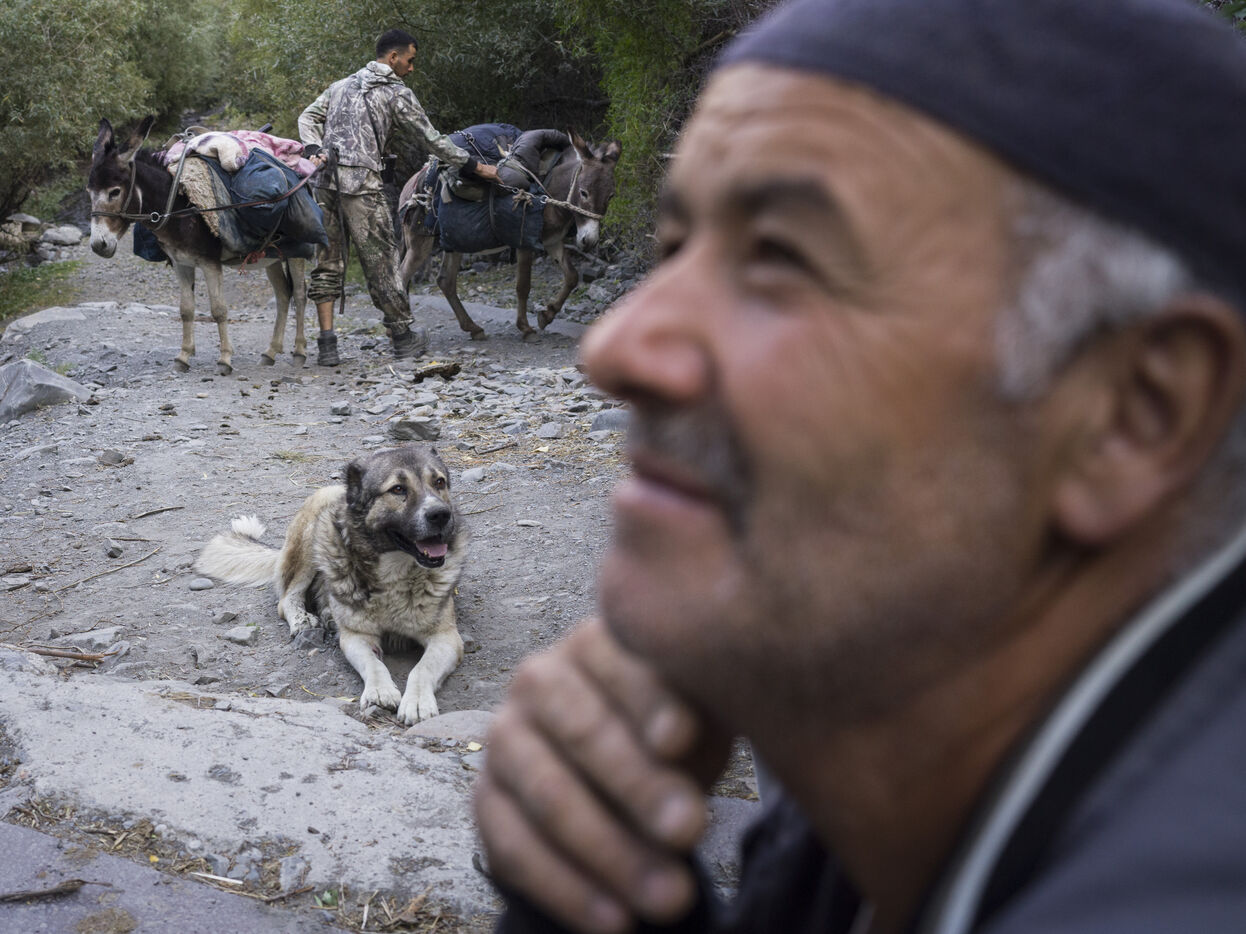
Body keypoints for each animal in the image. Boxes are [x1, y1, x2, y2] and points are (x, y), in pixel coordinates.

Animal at [87, 116, 309, 375]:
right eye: (89, 192)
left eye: (114, 192)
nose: (98, 245)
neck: (180, 207)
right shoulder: (181, 263)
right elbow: (186, 309)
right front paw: (183, 356)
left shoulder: (210, 262)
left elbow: (219, 309)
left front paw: (225, 359)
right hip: (270, 255)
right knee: (283, 294)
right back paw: (271, 352)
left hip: (297, 250)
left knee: (300, 295)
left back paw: (299, 352)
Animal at [195, 444, 467, 724]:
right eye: (398, 489)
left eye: (439, 482)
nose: (440, 514)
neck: (396, 572)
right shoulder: (356, 636)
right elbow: (374, 664)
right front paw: (380, 690)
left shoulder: (446, 638)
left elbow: (422, 668)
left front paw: (417, 701)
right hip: (311, 536)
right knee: (287, 598)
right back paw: (303, 618)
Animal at [397, 130, 620, 340]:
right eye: (583, 192)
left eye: (611, 196)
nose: (589, 241)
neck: (548, 188)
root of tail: (411, 183)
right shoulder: (524, 241)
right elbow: (523, 286)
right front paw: (526, 328)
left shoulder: (552, 241)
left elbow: (572, 277)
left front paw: (547, 315)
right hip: (420, 242)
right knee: (402, 275)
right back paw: (402, 330)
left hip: (454, 241)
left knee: (445, 281)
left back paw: (473, 328)